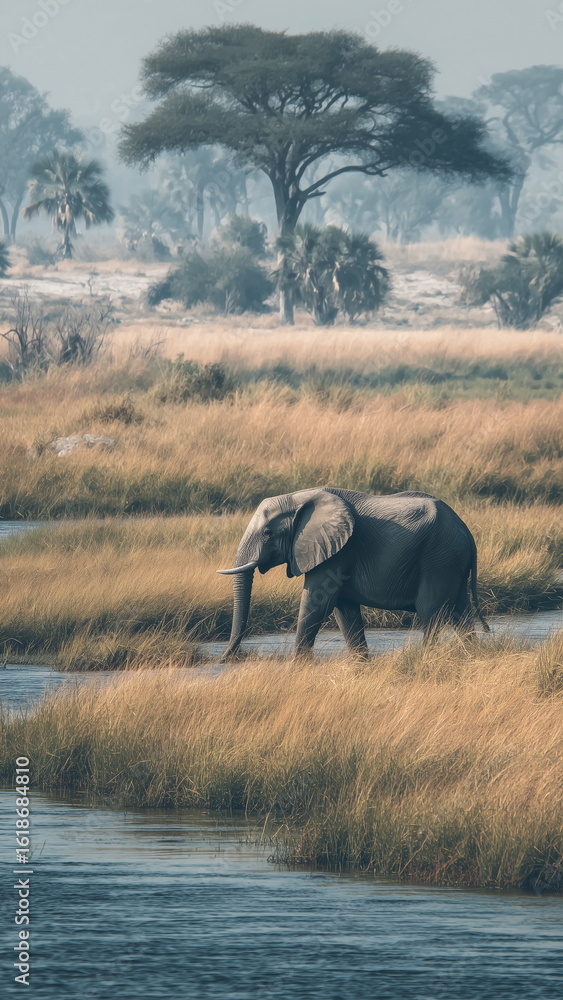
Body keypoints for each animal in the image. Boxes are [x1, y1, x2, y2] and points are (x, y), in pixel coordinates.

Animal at [217, 488, 490, 659]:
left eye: (267, 533)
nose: (227, 658)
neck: (298, 497)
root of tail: (466, 530)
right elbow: (344, 610)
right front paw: (361, 664)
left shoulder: (338, 552)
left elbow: (317, 603)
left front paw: (297, 666)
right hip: (451, 561)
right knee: (461, 613)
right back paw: (471, 656)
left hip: (439, 557)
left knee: (431, 611)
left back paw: (428, 658)